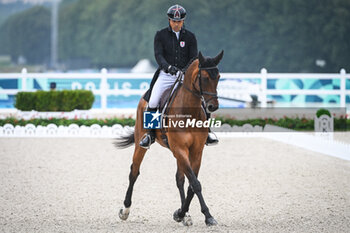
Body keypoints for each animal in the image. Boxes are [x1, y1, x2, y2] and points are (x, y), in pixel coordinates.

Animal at [115, 50, 224, 227]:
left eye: (219, 77)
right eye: (205, 78)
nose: (212, 106)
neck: (188, 111)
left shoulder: (196, 151)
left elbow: (191, 184)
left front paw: (182, 213)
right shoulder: (179, 149)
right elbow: (195, 183)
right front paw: (206, 216)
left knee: (180, 179)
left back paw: (185, 214)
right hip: (141, 143)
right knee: (134, 172)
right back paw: (125, 210)